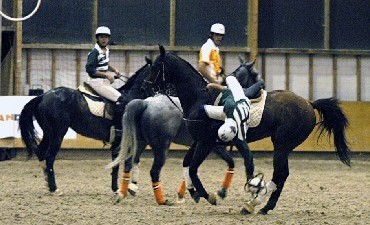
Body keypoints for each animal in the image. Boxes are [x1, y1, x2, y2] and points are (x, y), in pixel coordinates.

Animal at [18, 60, 152, 195]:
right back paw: (54, 189)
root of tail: (43, 96)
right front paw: (128, 188)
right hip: (57, 134)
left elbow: (125, 161)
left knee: (41, 152)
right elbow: (126, 161)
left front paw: (121, 188)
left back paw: (47, 182)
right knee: (49, 157)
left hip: (48, 133)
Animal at [145, 45, 350, 214]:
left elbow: (194, 168)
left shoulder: (206, 142)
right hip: (283, 146)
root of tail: (309, 104)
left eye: (154, 67)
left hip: (282, 145)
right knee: (282, 175)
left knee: (280, 174)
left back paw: (255, 204)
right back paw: (263, 207)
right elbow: (187, 163)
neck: (200, 98)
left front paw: (208, 195)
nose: (144, 85)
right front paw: (192, 191)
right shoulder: (199, 140)